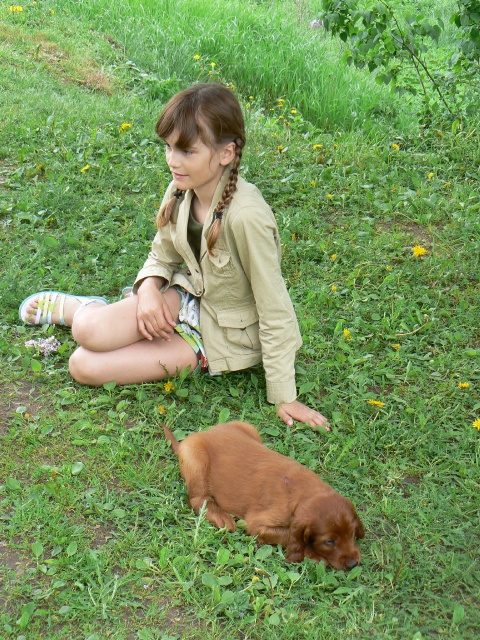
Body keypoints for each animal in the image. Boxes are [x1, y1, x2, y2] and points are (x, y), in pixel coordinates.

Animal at [163, 421, 364, 570]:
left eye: (352, 533)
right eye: (329, 542)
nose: (353, 564)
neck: (306, 491)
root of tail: (200, 434)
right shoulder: (257, 525)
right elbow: (289, 536)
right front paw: (312, 554)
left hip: (247, 426)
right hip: (196, 458)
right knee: (198, 499)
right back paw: (221, 517)